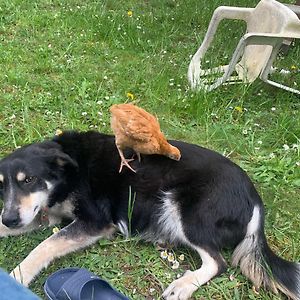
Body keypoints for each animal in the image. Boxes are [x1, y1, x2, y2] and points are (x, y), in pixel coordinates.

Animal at [0, 131, 298, 300]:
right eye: (2, 185)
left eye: (29, 180)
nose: (9, 219)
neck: (67, 171)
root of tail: (255, 201)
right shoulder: (41, 214)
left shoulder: (95, 222)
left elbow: (45, 246)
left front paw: (17, 276)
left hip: (183, 210)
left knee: (218, 262)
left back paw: (184, 285)